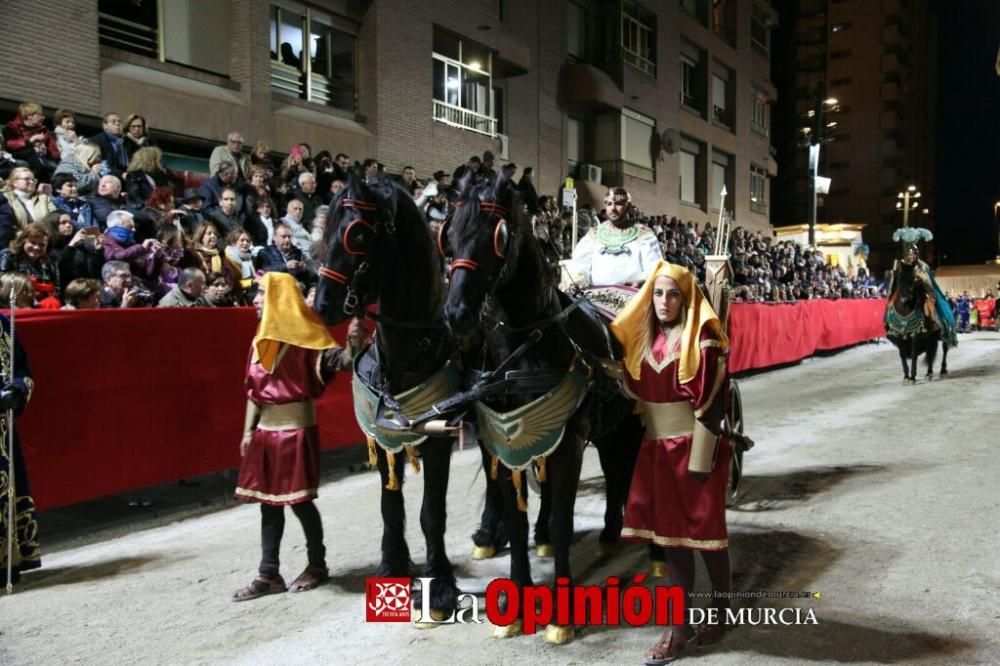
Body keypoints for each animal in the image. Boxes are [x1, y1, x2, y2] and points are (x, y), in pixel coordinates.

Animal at [312, 172, 460, 616]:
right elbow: (390, 507)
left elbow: (431, 512)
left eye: (358, 233)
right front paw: (392, 567)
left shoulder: (439, 440)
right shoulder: (384, 437)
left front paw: (440, 584)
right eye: (324, 228)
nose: (321, 304)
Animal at [440, 169, 632, 640]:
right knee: (616, 469)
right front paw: (515, 604)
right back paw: (609, 532)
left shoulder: (568, 445)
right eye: (447, 235)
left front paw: (561, 617)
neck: (524, 347)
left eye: (498, 235)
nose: (456, 314)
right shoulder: (502, 443)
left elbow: (562, 522)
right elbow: (517, 519)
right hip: (610, 427)